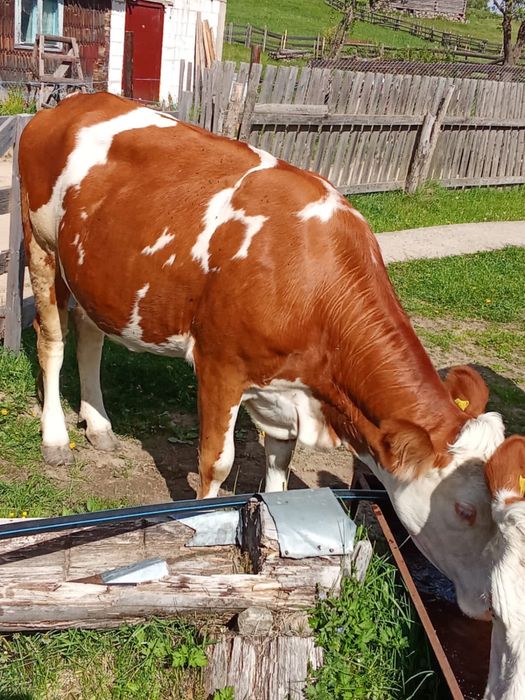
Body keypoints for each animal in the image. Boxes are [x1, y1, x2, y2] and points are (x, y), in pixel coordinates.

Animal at [18, 93, 523, 699]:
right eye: (465, 510)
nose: (489, 606)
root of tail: (71, 102)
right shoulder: (219, 365)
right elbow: (216, 462)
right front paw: (206, 534)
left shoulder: (286, 392)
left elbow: (277, 469)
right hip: (41, 244)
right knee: (52, 340)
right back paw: (56, 438)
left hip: (96, 272)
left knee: (90, 335)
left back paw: (99, 425)